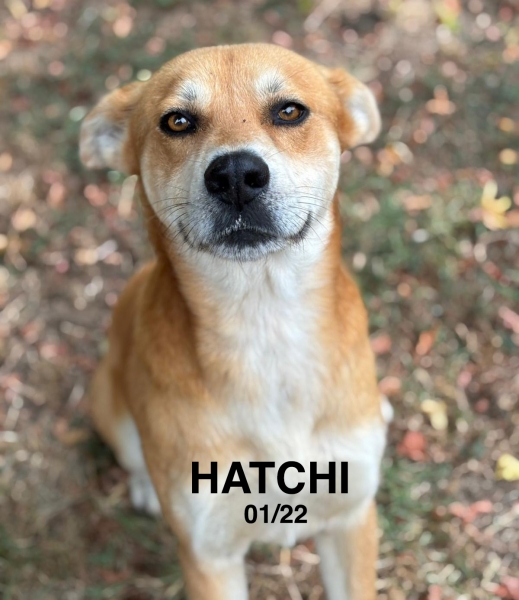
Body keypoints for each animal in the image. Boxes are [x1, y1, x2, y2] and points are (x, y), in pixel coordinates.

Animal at [80, 43, 389, 600]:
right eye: (177, 121)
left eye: (289, 111)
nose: (236, 175)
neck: (264, 327)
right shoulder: (209, 553)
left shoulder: (352, 518)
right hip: (109, 404)